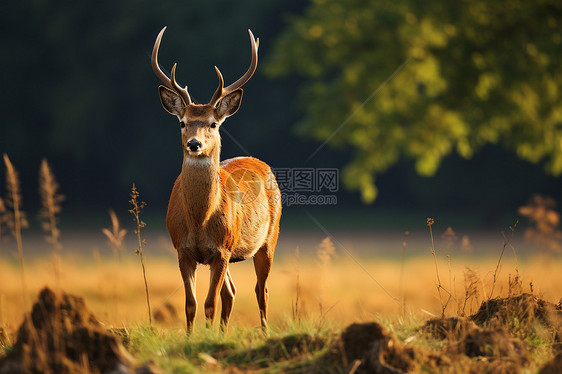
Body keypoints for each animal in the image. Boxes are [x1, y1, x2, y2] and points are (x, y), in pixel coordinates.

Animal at [150, 26, 280, 332]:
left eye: (213, 123)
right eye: (182, 122)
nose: (194, 144)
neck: (199, 222)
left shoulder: (221, 250)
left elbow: (209, 303)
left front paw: (208, 337)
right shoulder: (183, 250)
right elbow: (191, 304)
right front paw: (194, 336)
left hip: (268, 238)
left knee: (262, 290)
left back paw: (265, 330)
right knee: (231, 292)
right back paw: (224, 331)